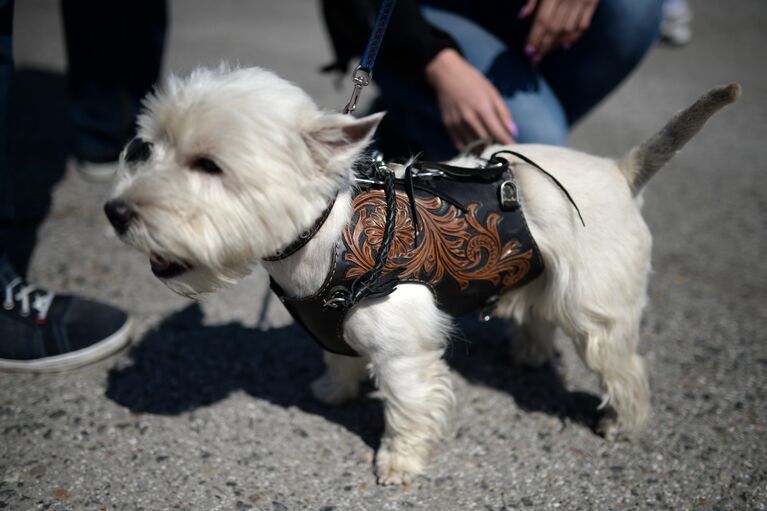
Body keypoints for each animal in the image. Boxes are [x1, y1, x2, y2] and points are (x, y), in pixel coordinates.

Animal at [105, 66, 740, 486]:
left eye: (209, 165)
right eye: (147, 148)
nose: (115, 213)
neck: (325, 237)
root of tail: (618, 169)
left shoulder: (404, 353)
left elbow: (408, 408)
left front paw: (398, 463)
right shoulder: (333, 327)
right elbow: (338, 360)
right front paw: (334, 391)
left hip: (596, 312)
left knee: (625, 368)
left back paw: (622, 424)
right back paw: (526, 354)